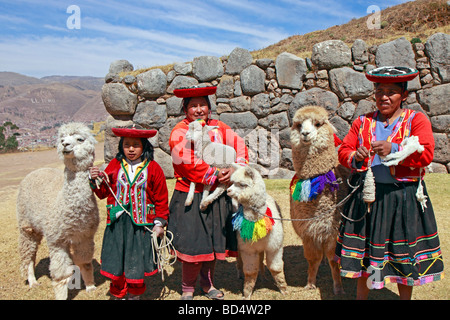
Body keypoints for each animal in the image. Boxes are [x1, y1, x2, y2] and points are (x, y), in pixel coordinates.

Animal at [16, 122, 100, 300]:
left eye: (80, 139)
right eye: (62, 139)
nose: (65, 145)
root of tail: (36, 171)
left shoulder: (85, 236)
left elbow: (85, 262)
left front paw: (90, 286)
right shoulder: (56, 240)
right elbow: (61, 274)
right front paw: (61, 295)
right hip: (26, 225)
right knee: (28, 253)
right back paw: (32, 282)